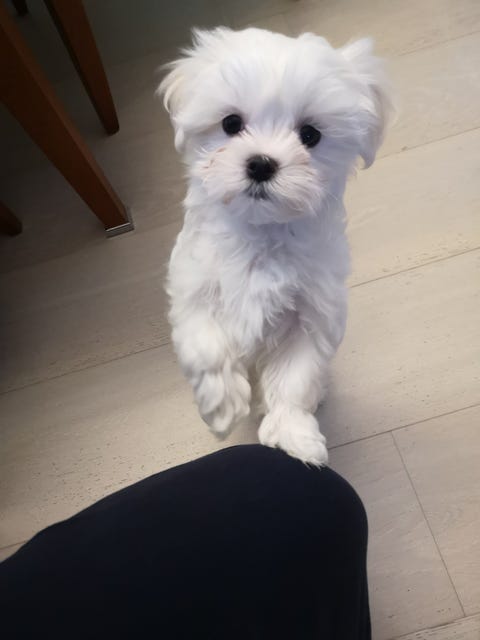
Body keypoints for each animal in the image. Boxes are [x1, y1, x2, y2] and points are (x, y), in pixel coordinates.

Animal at [159, 27, 392, 465]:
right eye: (231, 123)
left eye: (310, 135)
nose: (261, 163)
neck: (262, 231)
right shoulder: (194, 286)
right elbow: (205, 345)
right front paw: (222, 405)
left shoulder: (312, 312)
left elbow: (295, 376)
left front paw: (292, 433)